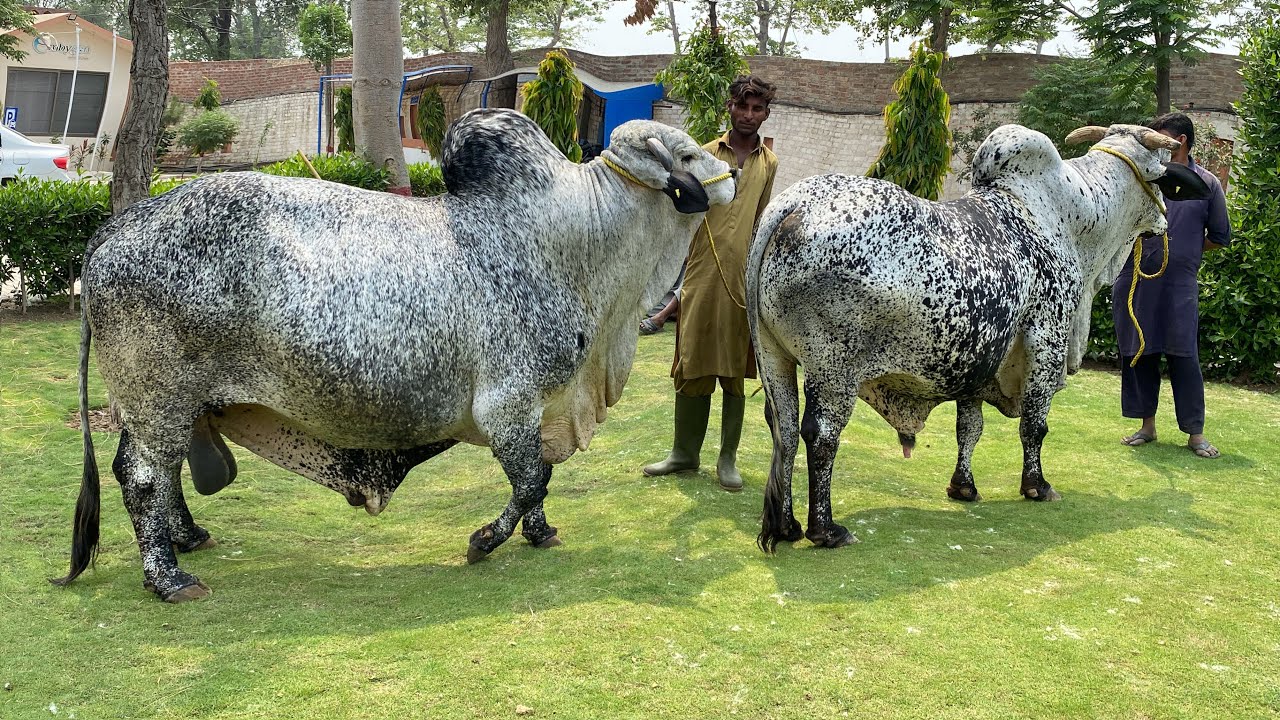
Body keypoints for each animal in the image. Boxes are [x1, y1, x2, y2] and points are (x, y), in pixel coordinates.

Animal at [53, 108, 736, 601]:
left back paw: (189, 539)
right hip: (159, 398)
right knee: (143, 478)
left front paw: (540, 533)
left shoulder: (539, 407)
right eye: (687, 155)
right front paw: (485, 541)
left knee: (153, 473)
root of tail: (113, 232)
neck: (579, 243)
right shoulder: (508, 403)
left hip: (165, 405)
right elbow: (531, 478)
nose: (731, 174)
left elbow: (539, 480)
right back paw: (169, 579)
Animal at [747, 123, 1210, 552]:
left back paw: (787, 526)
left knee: (783, 426)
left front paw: (963, 487)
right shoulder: (1047, 338)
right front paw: (1037, 486)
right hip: (833, 370)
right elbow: (1035, 425)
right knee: (821, 435)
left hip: (773, 357)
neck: (1071, 217)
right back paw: (826, 530)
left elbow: (969, 428)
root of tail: (793, 202)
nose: (1165, 222)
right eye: (1160, 177)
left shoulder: (978, 355)